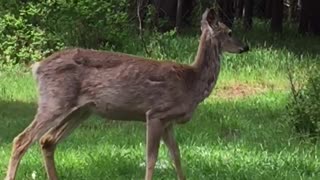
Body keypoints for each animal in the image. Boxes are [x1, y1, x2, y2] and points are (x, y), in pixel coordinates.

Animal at [5, 8, 250, 180]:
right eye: (230, 32)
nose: (245, 47)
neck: (192, 81)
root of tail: (36, 67)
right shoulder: (156, 113)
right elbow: (151, 158)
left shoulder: (168, 121)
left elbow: (177, 156)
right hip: (55, 101)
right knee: (21, 139)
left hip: (81, 110)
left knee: (47, 141)